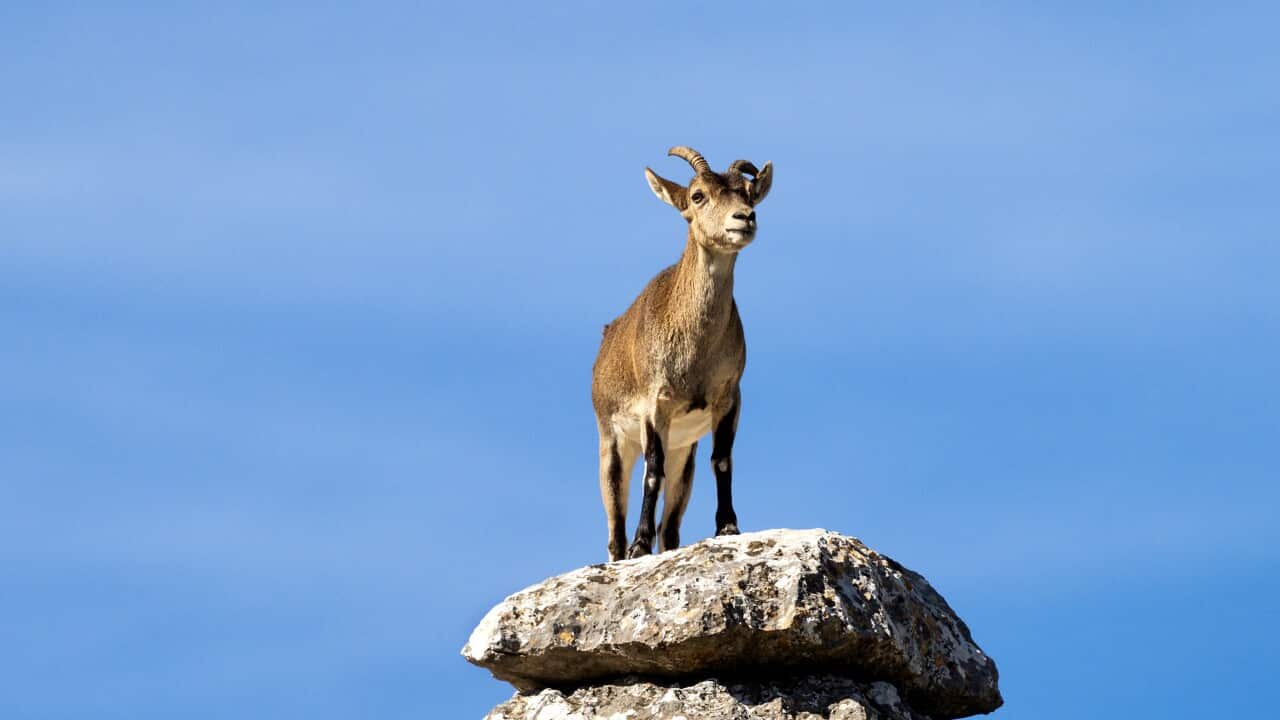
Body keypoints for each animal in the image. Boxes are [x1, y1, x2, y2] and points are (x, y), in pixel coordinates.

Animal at [591, 146, 773, 561]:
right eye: (698, 195)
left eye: (748, 192)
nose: (744, 218)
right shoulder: (654, 404)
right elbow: (652, 471)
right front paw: (640, 545)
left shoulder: (728, 397)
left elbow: (722, 460)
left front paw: (728, 527)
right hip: (611, 442)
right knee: (614, 527)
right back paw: (623, 550)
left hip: (683, 452)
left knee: (671, 528)